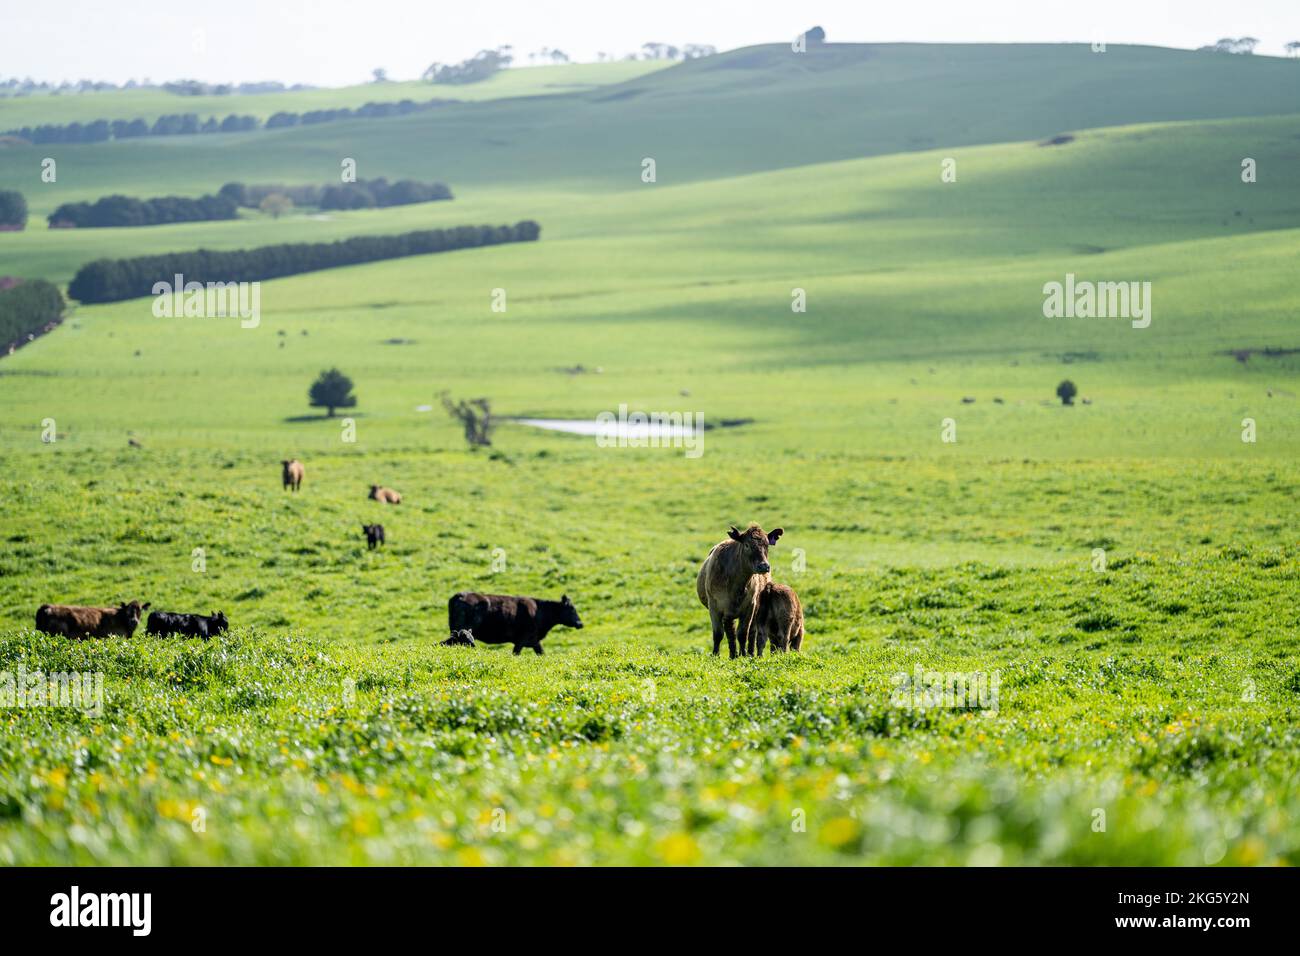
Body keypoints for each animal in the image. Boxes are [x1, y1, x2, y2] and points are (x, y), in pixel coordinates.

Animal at [448, 592, 583, 656]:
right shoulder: (522, 640)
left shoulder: (534, 641)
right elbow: (516, 654)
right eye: (572, 608)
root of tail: (460, 595)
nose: (580, 623)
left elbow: (541, 653)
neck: (539, 612)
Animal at [696, 524, 783, 658]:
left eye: (767, 544)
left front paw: (744, 654)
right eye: (747, 545)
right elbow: (718, 633)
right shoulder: (714, 606)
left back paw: (749, 653)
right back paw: (733, 655)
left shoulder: (750, 606)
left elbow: (743, 633)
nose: (764, 566)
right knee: (729, 631)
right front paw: (715, 655)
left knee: (751, 632)